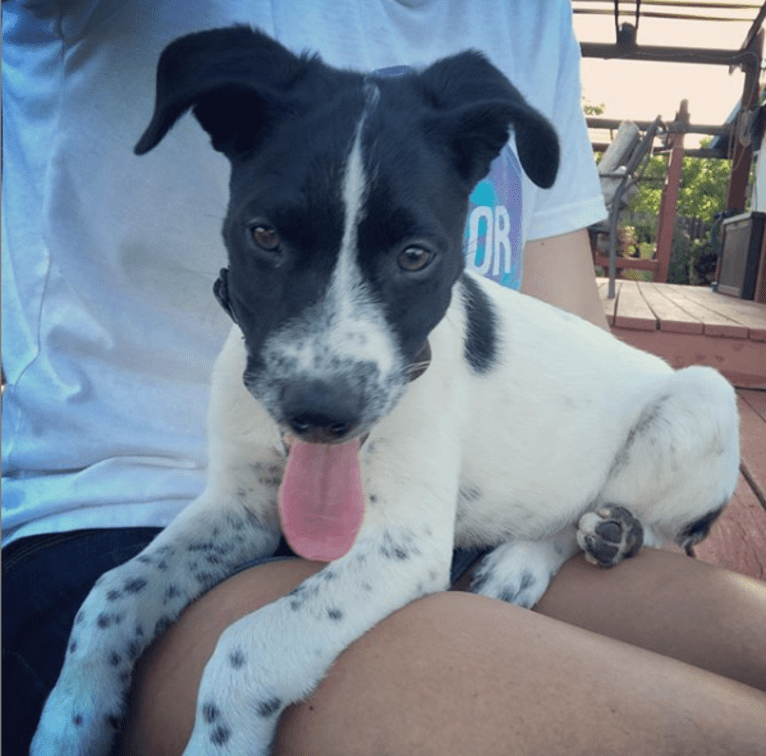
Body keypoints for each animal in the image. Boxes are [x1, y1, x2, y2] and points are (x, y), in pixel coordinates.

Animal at [31, 25, 744, 756]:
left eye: (415, 256)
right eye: (265, 236)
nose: (321, 414)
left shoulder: (403, 543)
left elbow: (246, 645)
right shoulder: (239, 506)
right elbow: (112, 594)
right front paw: (69, 721)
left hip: (702, 397)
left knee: (631, 524)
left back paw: (556, 551)